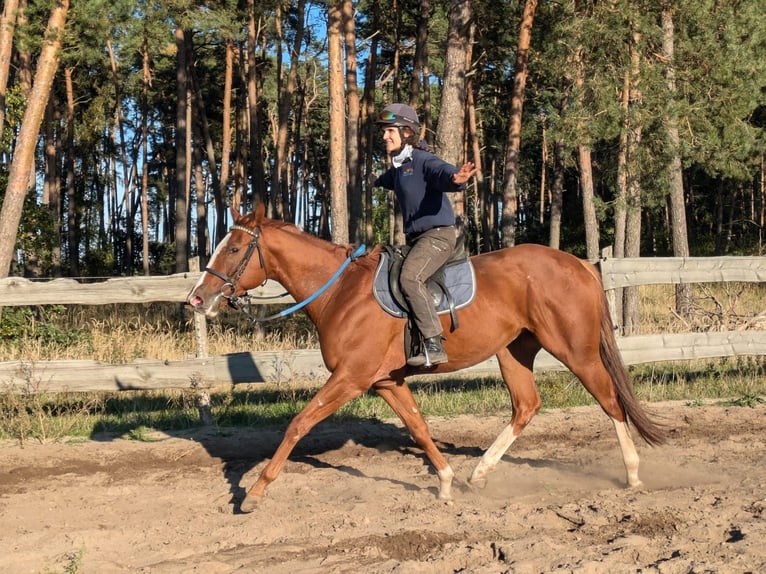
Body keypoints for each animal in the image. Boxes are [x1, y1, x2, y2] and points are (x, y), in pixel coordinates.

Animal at [188, 205, 664, 516]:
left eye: (234, 250)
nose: (196, 298)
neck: (340, 292)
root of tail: (580, 264)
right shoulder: (385, 382)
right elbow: (417, 426)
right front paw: (447, 482)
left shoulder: (351, 378)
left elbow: (299, 423)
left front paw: (254, 493)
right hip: (514, 351)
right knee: (526, 406)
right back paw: (479, 474)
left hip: (576, 351)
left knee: (611, 402)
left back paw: (634, 476)